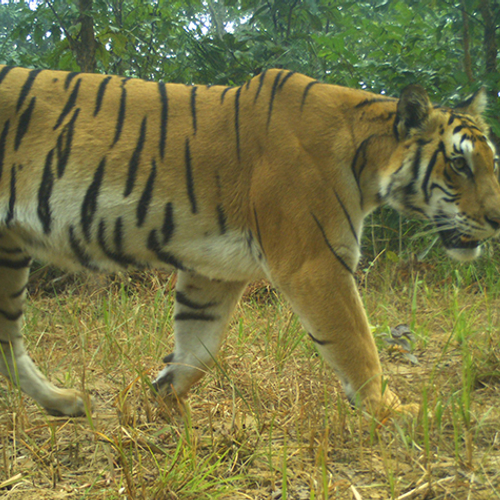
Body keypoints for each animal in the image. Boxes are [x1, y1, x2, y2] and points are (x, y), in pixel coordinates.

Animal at [0, 64, 500, 420]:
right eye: (459, 164)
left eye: (490, 161)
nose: (497, 219)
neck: (365, 159)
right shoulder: (315, 263)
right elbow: (357, 344)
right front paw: (395, 413)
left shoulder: (212, 273)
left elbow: (197, 350)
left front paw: (159, 400)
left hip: (8, 254)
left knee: (7, 344)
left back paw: (64, 403)